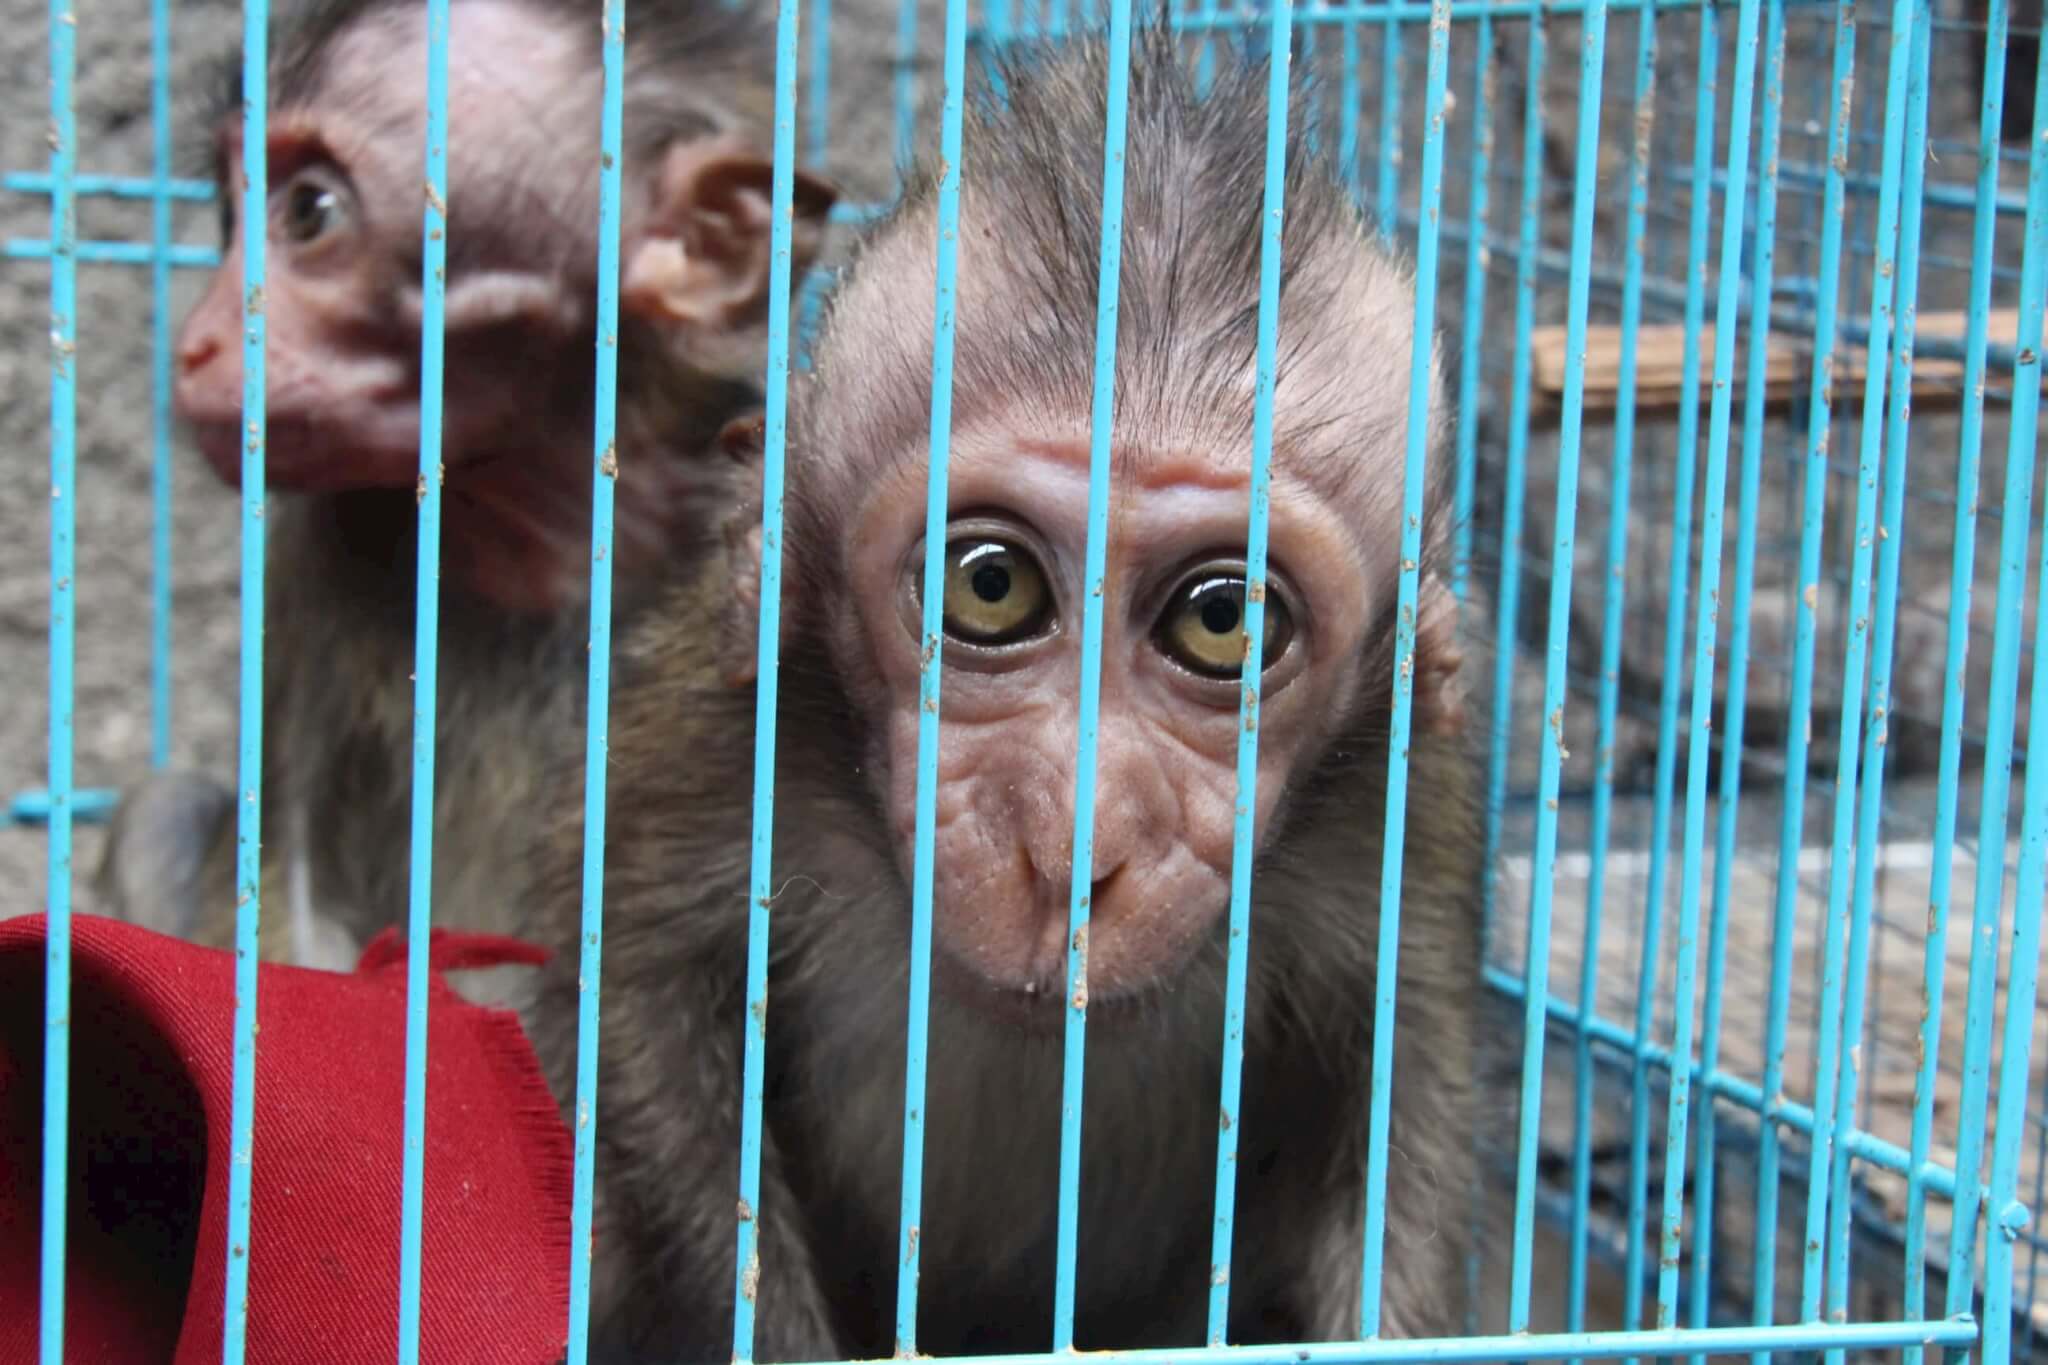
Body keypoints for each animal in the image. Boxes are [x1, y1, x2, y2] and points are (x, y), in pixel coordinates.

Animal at [99, 0, 835, 982]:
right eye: (229, 210)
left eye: (309, 212)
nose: (198, 343)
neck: (552, 531)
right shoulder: (314, 558)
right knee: (165, 812)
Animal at [524, 26, 1490, 1358]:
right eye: (989, 586)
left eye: (1222, 620)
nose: (1068, 850)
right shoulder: (718, 734)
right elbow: (637, 986)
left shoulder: (1399, 815)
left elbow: (1410, 1076)